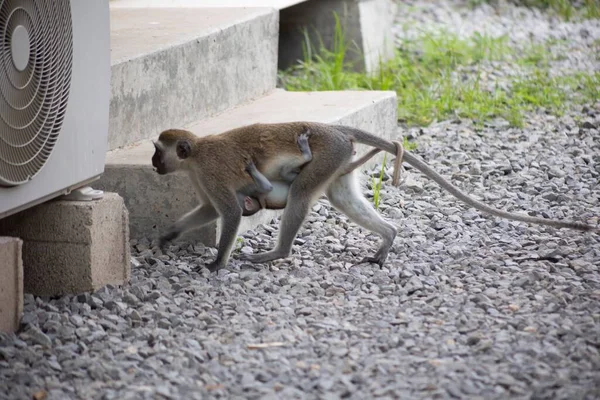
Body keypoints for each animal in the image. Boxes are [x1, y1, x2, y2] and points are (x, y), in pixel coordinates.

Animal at [152, 122, 596, 272]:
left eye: (158, 150)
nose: (154, 163)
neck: (197, 153)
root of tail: (332, 129)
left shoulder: (209, 172)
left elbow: (227, 211)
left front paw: (216, 264)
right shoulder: (199, 178)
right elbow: (207, 209)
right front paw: (168, 236)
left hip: (328, 154)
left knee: (300, 194)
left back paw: (278, 253)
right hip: (339, 163)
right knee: (339, 197)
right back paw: (388, 237)